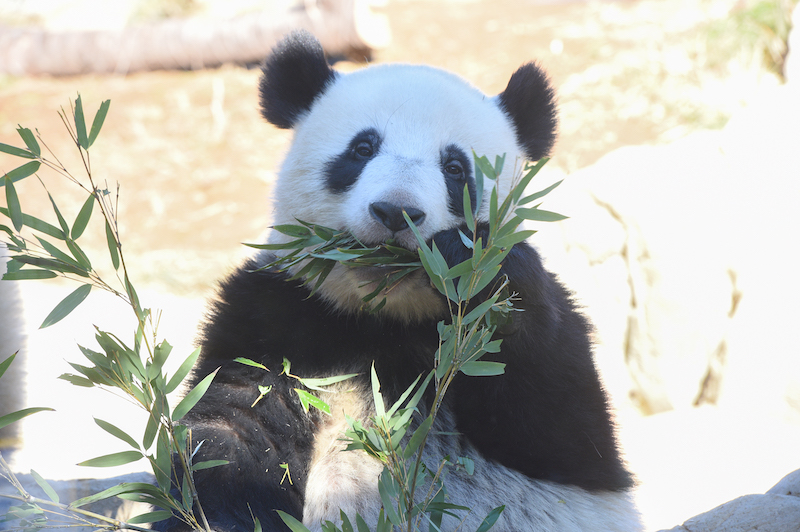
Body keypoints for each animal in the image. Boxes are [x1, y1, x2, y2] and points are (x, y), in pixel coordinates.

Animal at [161, 30, 644, 532]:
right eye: (362, 149)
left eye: (455, 168)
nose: (396, 212)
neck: (384, 314)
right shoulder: (277, 312)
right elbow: (232, 433)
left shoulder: (541, 352)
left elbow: (558, 427)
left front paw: (470, 261)